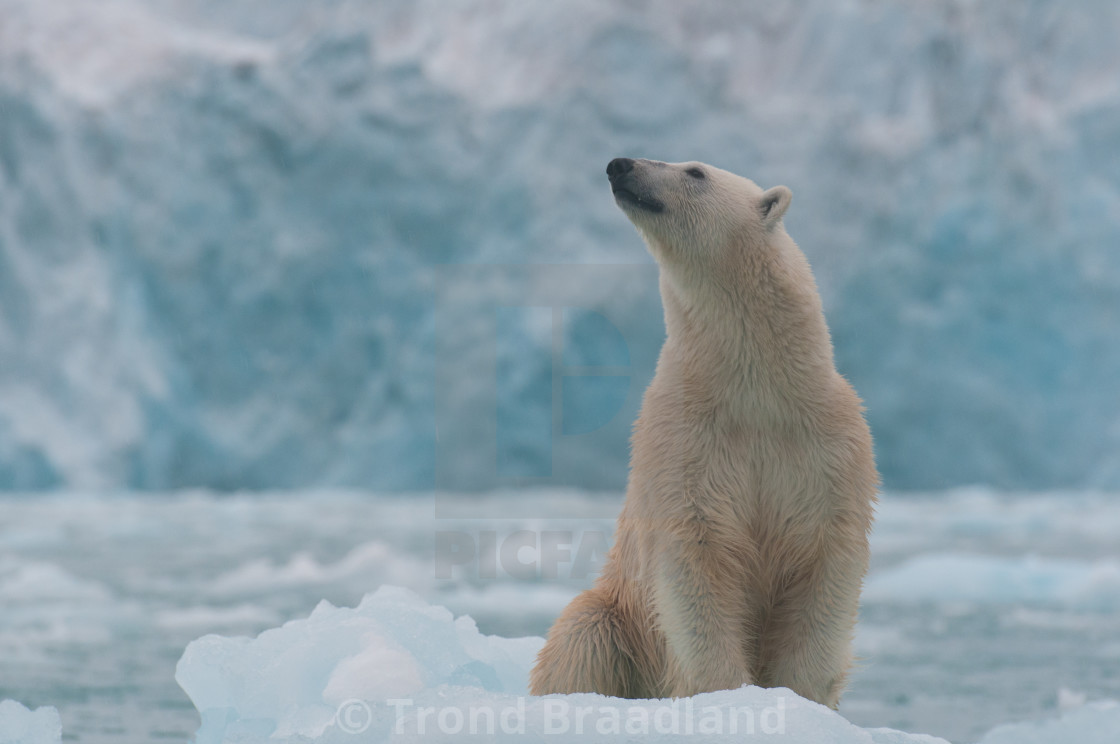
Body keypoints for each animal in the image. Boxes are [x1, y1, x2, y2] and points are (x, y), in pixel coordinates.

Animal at [528, 157, 878, 708]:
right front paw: (726, 695)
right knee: (581, 638)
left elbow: (825, 564)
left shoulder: (828, 445)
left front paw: (798, 697)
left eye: (694, 171)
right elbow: (697, 560)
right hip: (618, 611)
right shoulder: (685, 439)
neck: (756, 388)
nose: (619, 165)